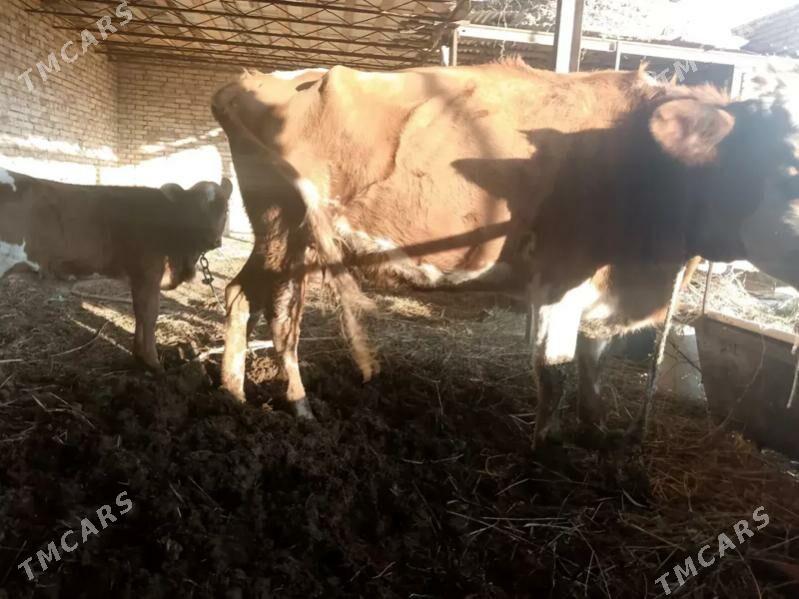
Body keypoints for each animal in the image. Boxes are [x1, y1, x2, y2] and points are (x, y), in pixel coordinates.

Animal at [0, 169, 233, 371]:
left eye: (226, 210)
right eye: (193, 209)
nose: (212, 240)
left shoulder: (139, 276)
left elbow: (139, 312)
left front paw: (138, 355)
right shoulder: (148, 273)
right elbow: (150, 315)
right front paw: (154, 363)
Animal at [211, 61, 799, 447]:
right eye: (787, 163)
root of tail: (251, 80)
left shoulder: (607, 287)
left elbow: (594, 367)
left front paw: (596, 436)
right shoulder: (561, 276)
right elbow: (555, 370)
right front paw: (544, 451)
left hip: (281, 232)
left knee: (240, 294)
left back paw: (234, 394)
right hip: (287, 226)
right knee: (280, 314)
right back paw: (300, 407)